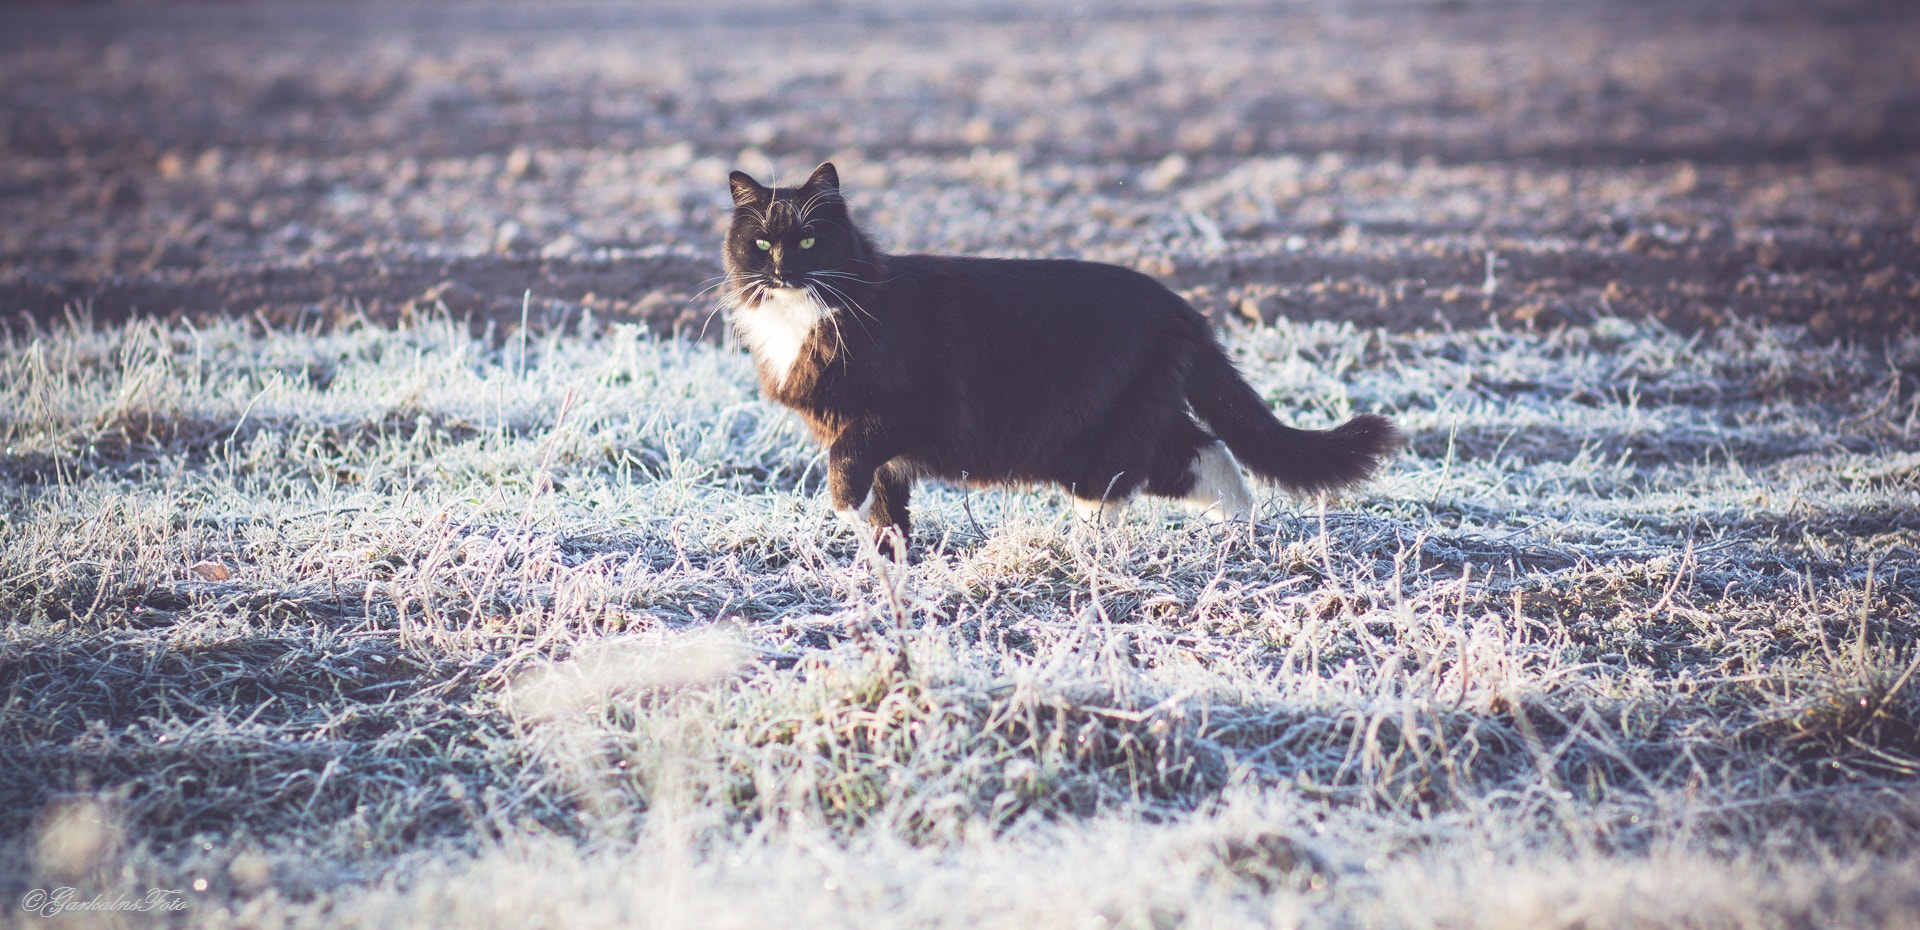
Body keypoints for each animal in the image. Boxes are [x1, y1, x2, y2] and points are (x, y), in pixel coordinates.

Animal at [721, 160, 1397, 557]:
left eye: (809, 239)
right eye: (762, 244)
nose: (783, 271)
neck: (806, 321)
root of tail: (1180, 306)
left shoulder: (899, 413)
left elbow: (845, 463)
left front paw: (845, 511)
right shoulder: (875, 445)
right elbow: (887, 508)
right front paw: (887, 564)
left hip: (1093, 433)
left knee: (1128, 481)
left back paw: (1085, 551)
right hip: (1124, 421)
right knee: (1204, 452)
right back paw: (1234, 531)